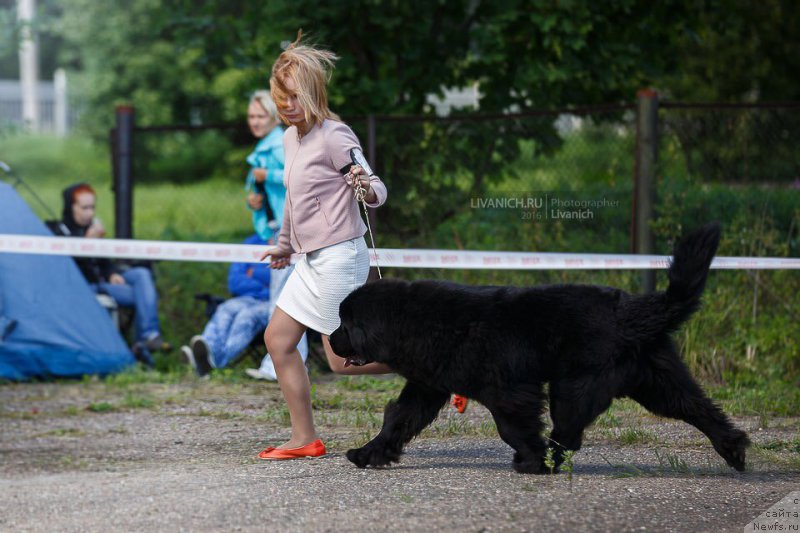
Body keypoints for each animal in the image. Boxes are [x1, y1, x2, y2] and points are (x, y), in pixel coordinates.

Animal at [326, 222, 752, 472]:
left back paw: (544, 461)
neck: (420, 323)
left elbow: (513, 427)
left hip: (576, 385)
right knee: (698, 408)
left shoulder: (511, 391)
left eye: (346, 323)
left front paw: (531, 456)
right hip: (656, 381)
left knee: (570, 431)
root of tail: (633, 310)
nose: (330, 338)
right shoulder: (427, 386)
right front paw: (368, 454)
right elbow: (397, 420)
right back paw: (734, 448)